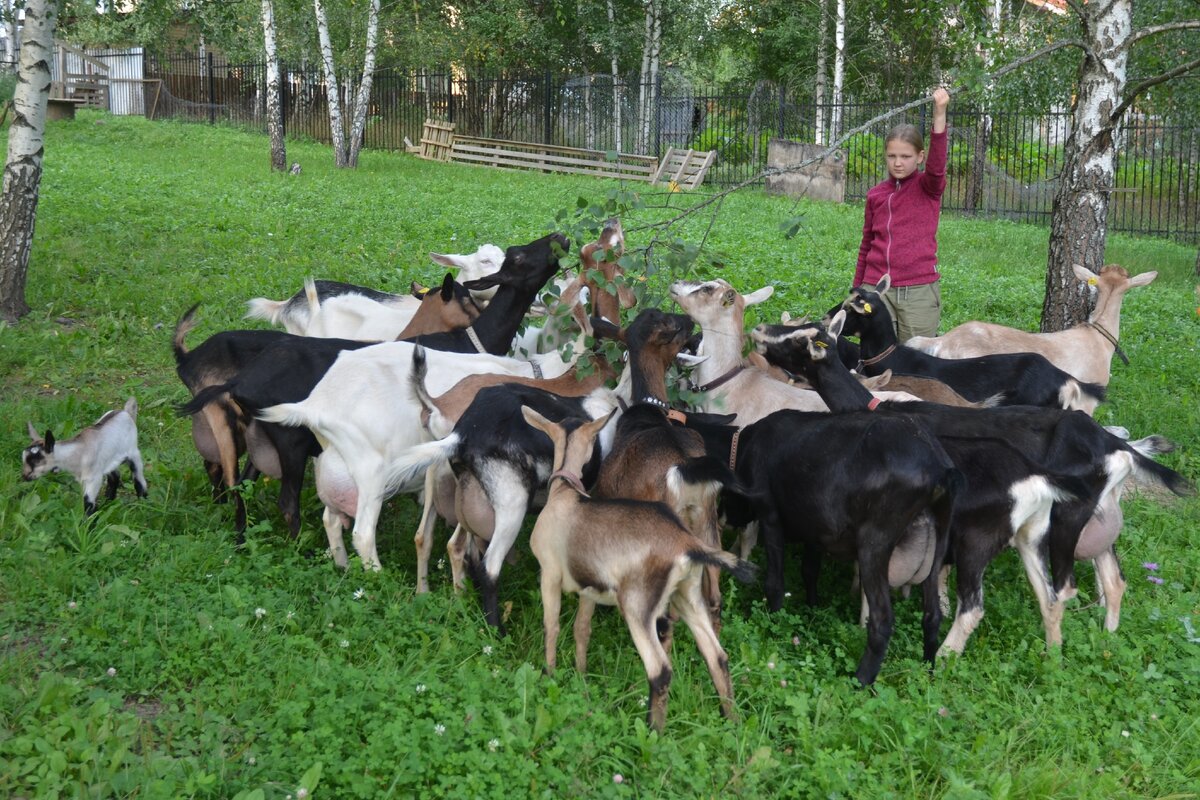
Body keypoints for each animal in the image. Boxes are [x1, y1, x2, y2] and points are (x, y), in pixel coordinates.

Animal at [523, 407, 748, 734]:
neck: (565, 493)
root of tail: (686, 545)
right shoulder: (589, 589)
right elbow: (582, 629)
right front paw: (581, 675)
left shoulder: (549, 573)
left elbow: (550, 625)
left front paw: (549, 675)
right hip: (688, 593)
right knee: (717, 655)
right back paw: (730, 721)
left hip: (639, 607)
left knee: (661, 669)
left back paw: (653, 732)